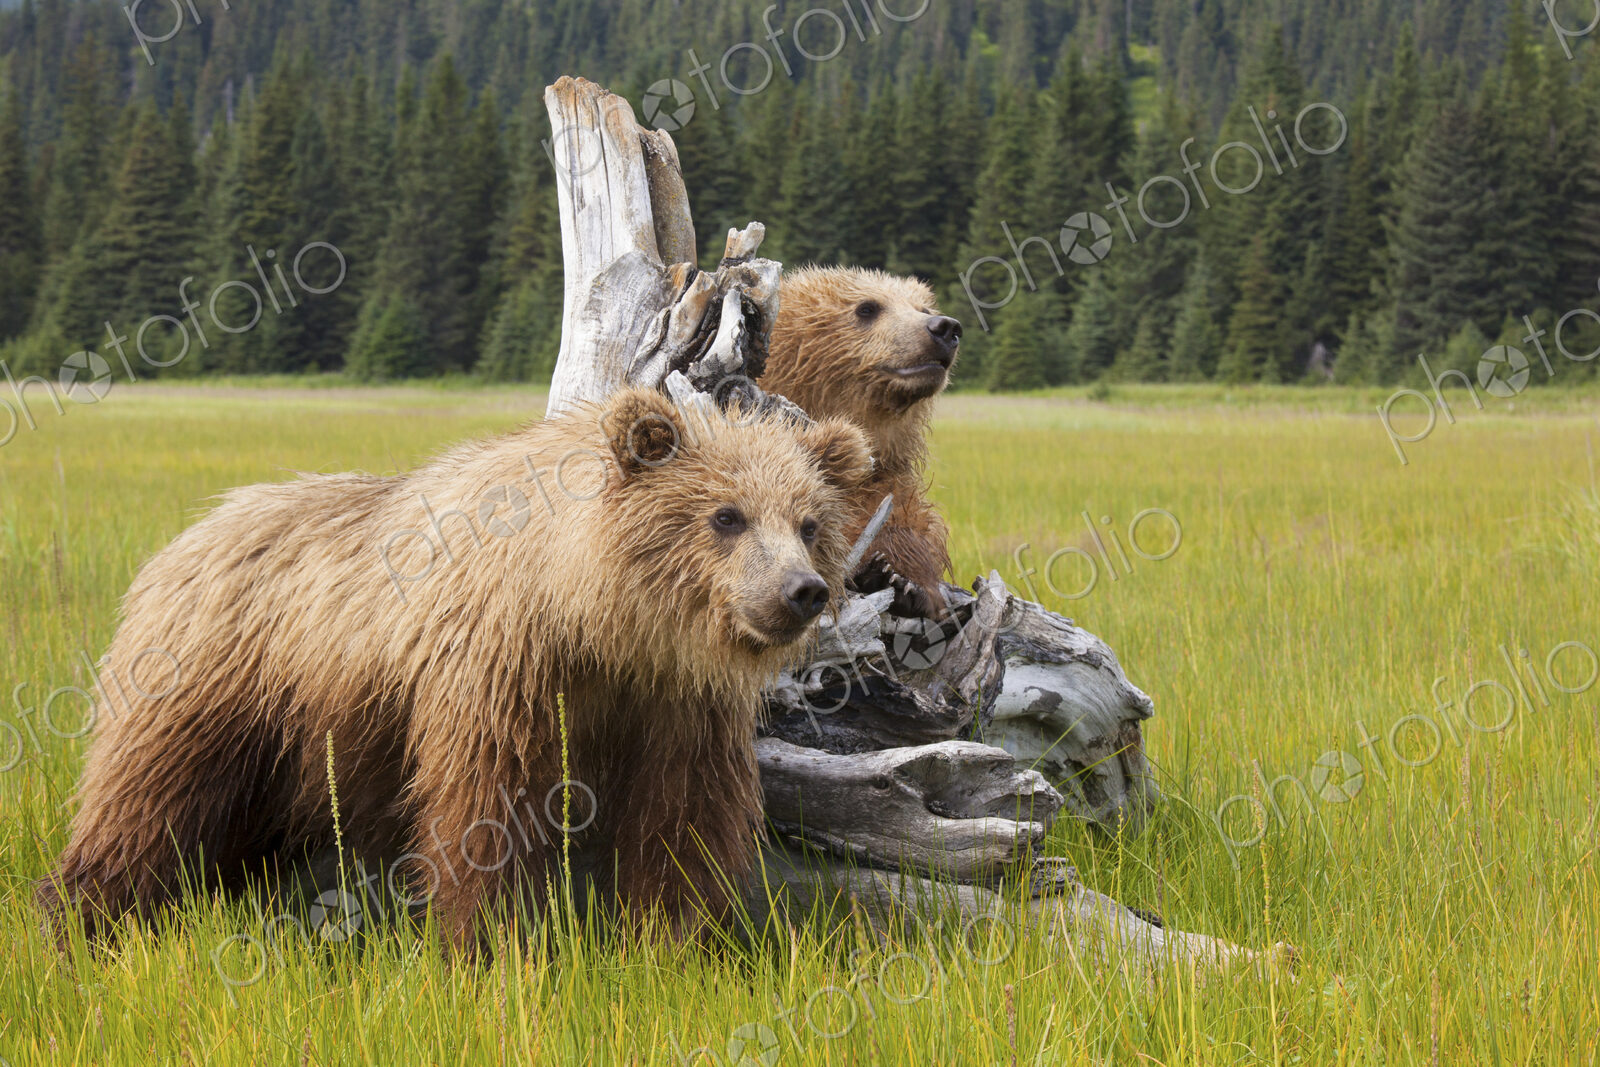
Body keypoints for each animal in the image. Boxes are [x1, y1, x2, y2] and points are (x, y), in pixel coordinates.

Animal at [37, 387, 872, 951]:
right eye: (726, 515)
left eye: (808, 522)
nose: (801, 590)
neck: (595, 619)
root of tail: (185, 535)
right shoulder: (499, 668)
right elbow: (485, 808)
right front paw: (492, 942)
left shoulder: (673, 701)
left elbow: (683, 819)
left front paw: (677, 941)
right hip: (218, 682)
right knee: (149, 799)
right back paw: (79, 914)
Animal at [761, 266, 962, 618]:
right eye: (867, 308)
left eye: (923, 308)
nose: (944, 327)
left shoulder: (883, 478)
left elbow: (906, 524)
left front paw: (900, 580)